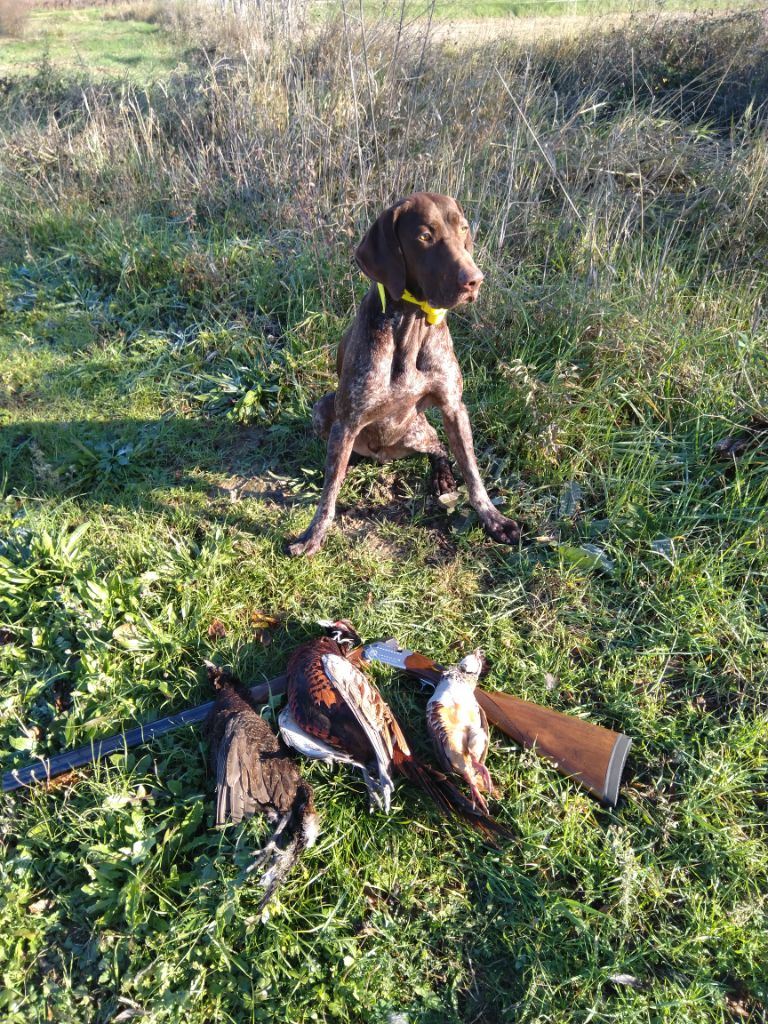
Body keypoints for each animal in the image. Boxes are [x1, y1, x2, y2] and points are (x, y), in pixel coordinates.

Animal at [288, 192, 524, 561]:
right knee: (340, 460)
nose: (474, 280)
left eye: (463, 229)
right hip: (325, 409)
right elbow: (329, 493)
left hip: (417, 430)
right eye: (425, 236)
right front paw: (314, 534)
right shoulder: (347, 420)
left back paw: (442, 477)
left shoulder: (453, 406)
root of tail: (382, 455)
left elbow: (472, 472)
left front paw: (493, 518)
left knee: (438, 446)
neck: (412, 321)